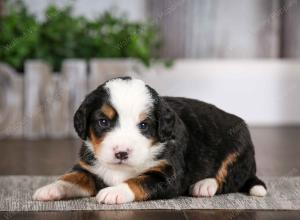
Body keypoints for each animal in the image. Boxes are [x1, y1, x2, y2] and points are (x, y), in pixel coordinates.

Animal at [32, 76, 268, 204]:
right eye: (103, 122)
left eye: (144, 125)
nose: (121, 153)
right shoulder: (88, 168)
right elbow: (71, 178)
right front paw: (50, 188)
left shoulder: (167, 174)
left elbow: (139, 181)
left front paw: (115, 191)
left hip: (239, 147)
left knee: (230, 178)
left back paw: (205, 185)